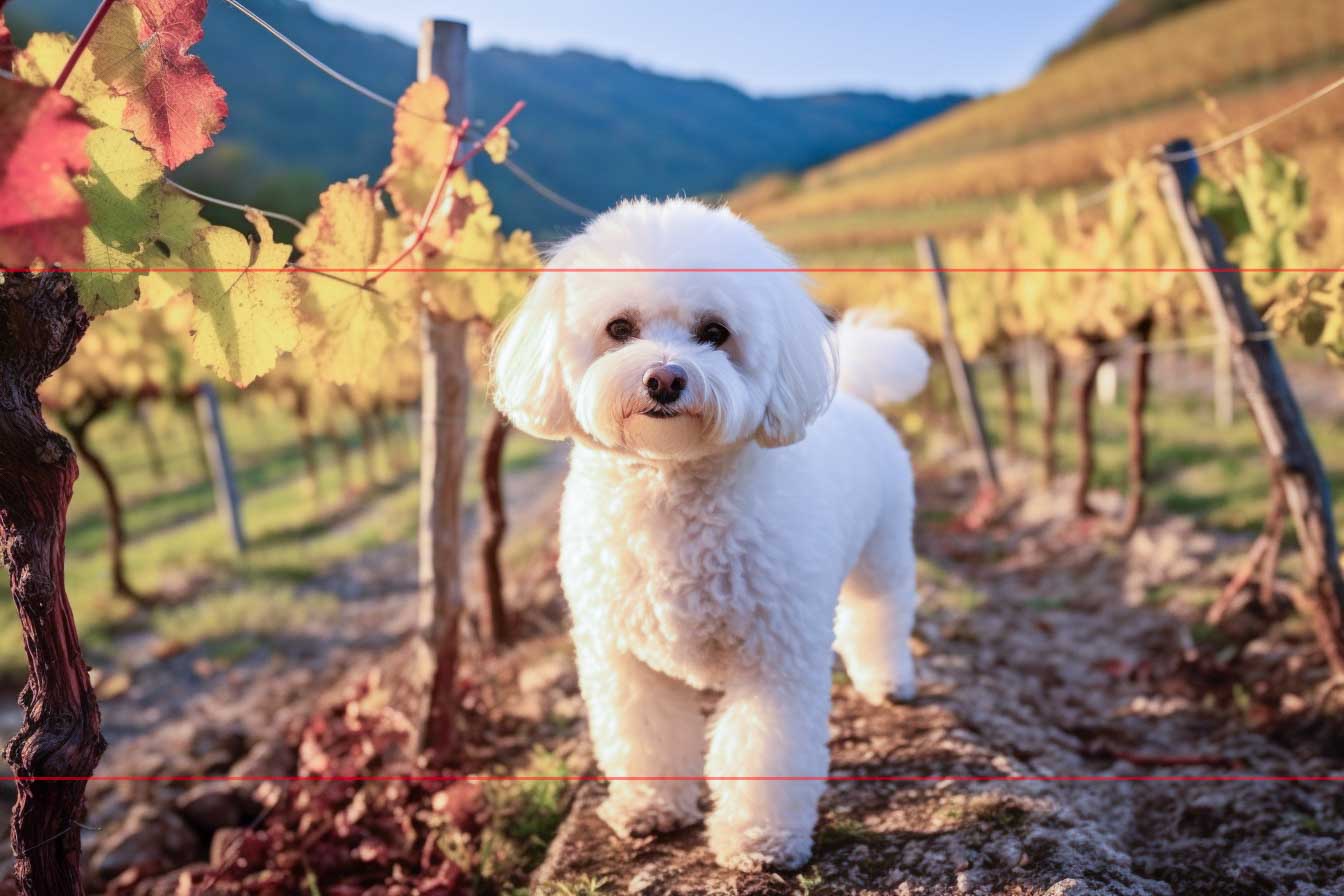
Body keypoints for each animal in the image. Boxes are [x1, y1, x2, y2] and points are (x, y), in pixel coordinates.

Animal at [489, 196, 930, 870]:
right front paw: (651, 809)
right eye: (620, 328)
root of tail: (854, 395)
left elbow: (763, 750)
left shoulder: (774, 656)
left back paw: (887, 680)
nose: (665, 379)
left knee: (879, 615)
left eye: (715, 333)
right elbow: (645, 737)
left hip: (882, 554)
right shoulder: (622, 656)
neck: (670, 484)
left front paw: (759, 839)